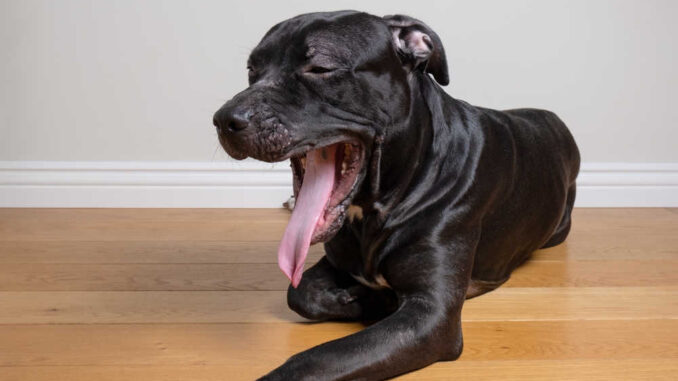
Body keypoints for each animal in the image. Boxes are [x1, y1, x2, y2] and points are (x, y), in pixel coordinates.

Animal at [212, 10, 580, 378]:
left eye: (320, 68)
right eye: (252, 70)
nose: (224, 119)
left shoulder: (429, 316)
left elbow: (317, 360)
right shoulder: (336, 259)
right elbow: (299, 293)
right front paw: (364, 299)